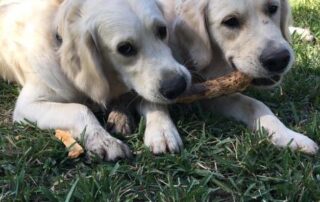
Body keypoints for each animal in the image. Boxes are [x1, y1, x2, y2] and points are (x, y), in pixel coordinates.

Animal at [0, 0, 190, 161]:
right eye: (125, 48)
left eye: (162, 30)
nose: (178, 86)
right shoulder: (27, 106)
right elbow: (78, 109)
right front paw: (105, 141)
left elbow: (152, 101)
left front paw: (162, 129)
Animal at [109, 0, 318, 155]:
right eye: (230, 21)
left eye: (273, 8)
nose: (279, 59)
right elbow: (154, 99)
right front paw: (161, 130)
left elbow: (256, 104)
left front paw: (291, 137)